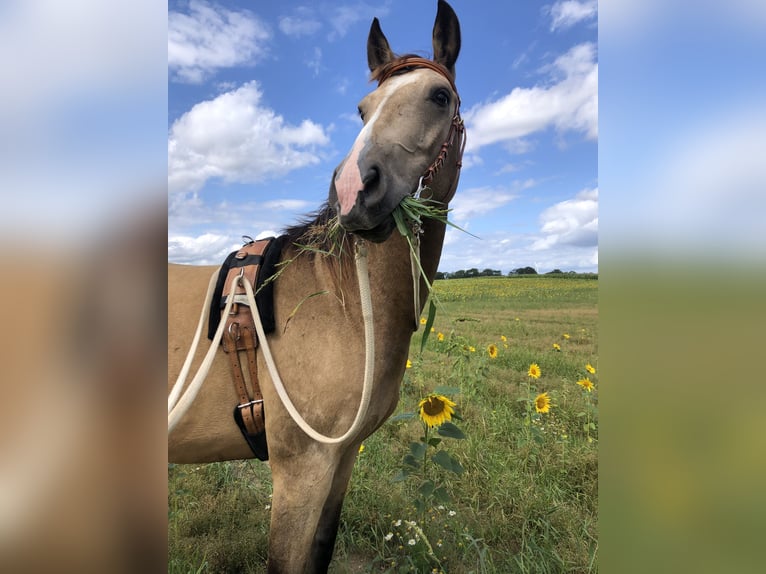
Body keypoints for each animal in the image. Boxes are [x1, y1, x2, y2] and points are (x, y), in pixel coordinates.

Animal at [169, 2, 464, 572]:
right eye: (362, 109)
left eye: (439, 96)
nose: (353, 190)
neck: (345, 307)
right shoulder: (301, 472)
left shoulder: (341, 460)